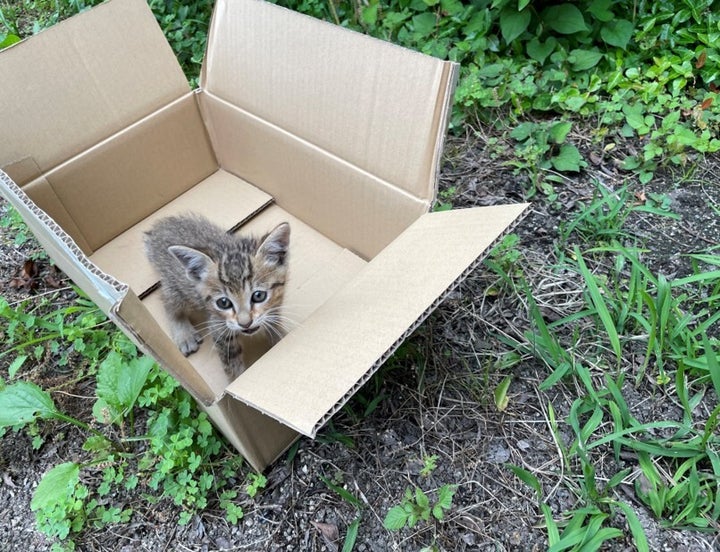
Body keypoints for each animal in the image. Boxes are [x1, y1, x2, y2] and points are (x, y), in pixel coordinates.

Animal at [143, 212, 290, 380]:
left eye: (259, 295)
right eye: (223, 303)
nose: (245, 324)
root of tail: (158, 230)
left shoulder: (273, 309)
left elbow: (274, 326)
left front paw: (280, 337)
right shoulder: (218, 327)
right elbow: (232, 364)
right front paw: (236, 379)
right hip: (175, 285)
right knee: (168, 301)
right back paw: (184, 334)